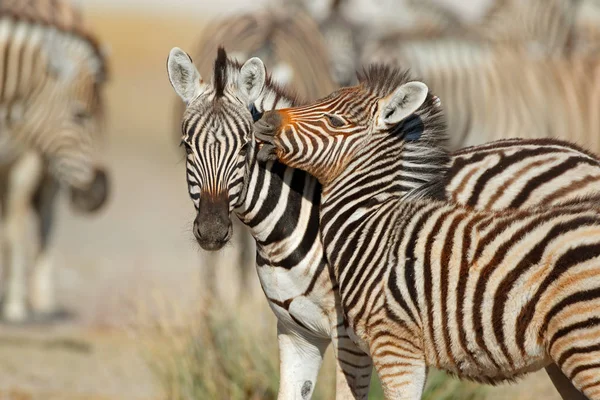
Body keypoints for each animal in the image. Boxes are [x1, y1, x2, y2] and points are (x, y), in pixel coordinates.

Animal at [169, 49, 600, 400]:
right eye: (186, 145)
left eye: (245, 147)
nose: (212, 230)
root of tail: (578, 153)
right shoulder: (296, 334)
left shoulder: (352, 339)